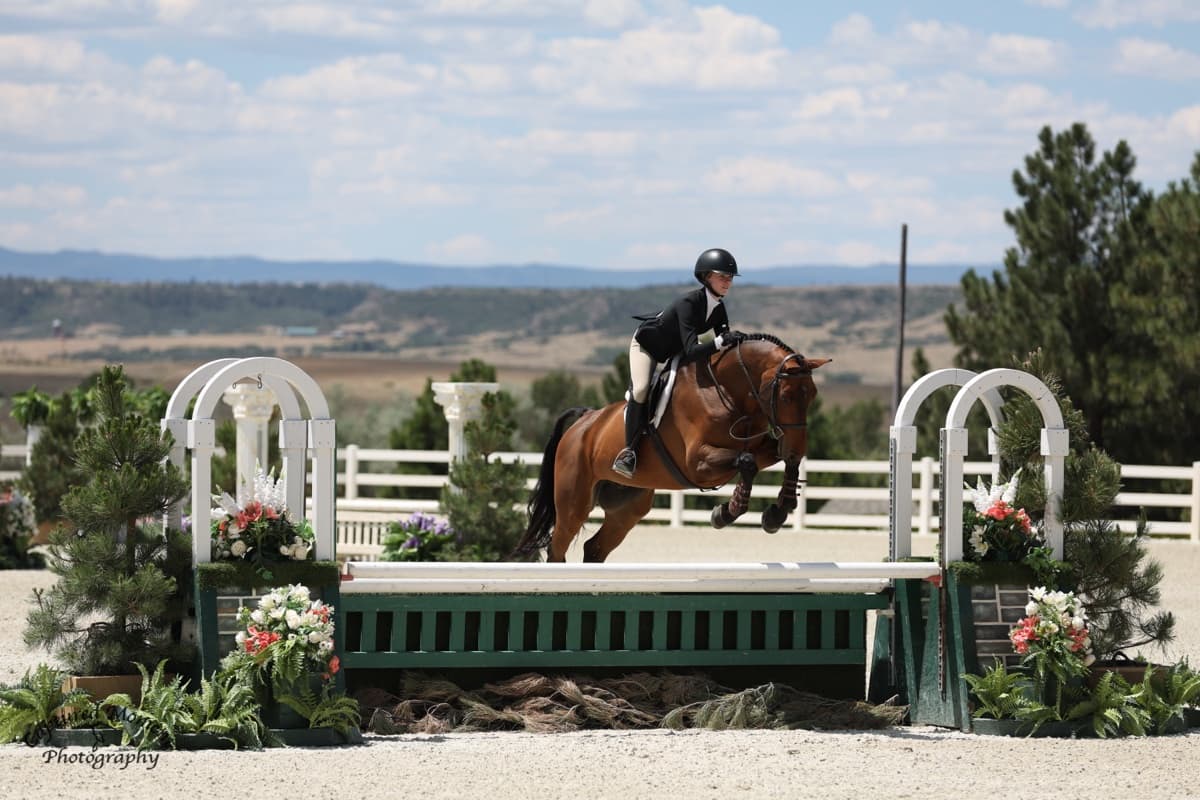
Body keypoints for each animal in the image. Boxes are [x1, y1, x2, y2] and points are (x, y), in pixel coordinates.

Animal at [513, 333, 830, 562]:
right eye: (786, 396)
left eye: (813, 394)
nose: (796, 446)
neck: (727, 392)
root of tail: (585, 421)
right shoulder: (697, 464)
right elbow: (747, 462)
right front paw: (725, 513)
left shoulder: (760, 446)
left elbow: (769, 459)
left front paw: (777, 513)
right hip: (574, 503)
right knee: (557, 548)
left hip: (627, 508)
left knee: (594, 548)